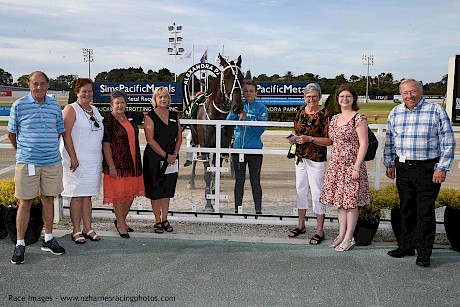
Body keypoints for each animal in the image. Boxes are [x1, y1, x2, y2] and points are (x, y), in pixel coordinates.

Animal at [189, 53, 244, 212]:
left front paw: (214, 194)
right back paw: (191, 181)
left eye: (242, 77)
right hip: (196, 139)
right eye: (226, 77)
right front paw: (208, 204)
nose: (237, 106)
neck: (216, 116)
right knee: (194, 158)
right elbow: (208, 173)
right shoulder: (205, 146)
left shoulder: (223, 147)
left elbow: (216, 171)